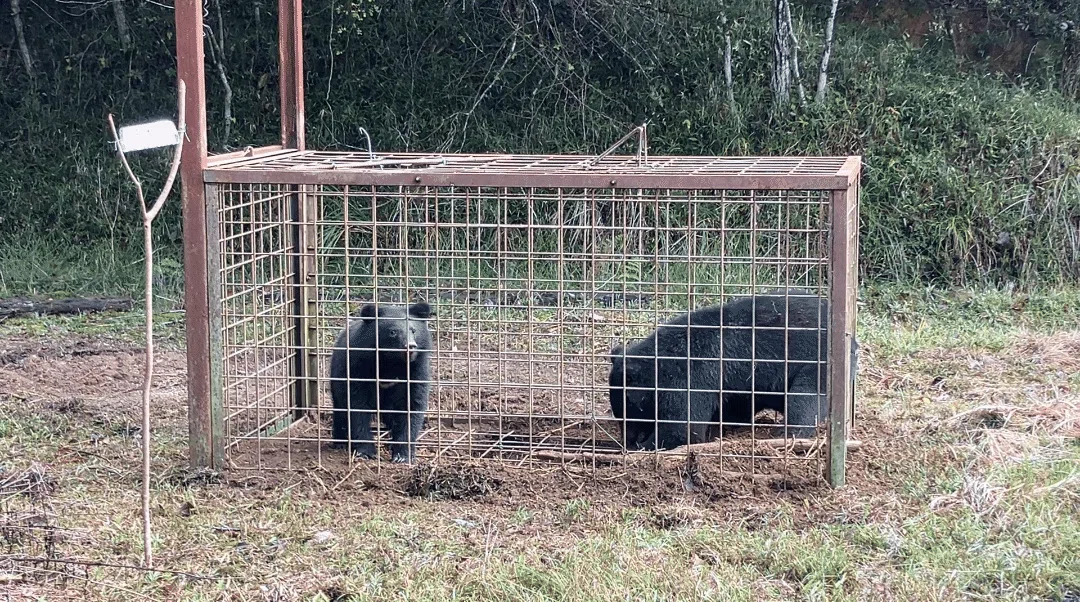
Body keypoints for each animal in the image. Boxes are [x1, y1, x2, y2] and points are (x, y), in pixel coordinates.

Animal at [329, 301, 433, 463]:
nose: (410, 346)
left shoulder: (416, 371)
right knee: (340, 410)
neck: (390, 363)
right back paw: (340, 442)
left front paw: (402, 455)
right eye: (393, 332)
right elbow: (357, 406)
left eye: (413, 330)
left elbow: (412, 405)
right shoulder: (357, 367)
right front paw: (366, 452)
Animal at [608, 288, 859, 451]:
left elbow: (684, 426)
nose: (628, 439)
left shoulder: (690, 378)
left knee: (805, 398)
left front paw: (646, 445)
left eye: (628, 409)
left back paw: (788, 433)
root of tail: (852, 339)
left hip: (818, 363)